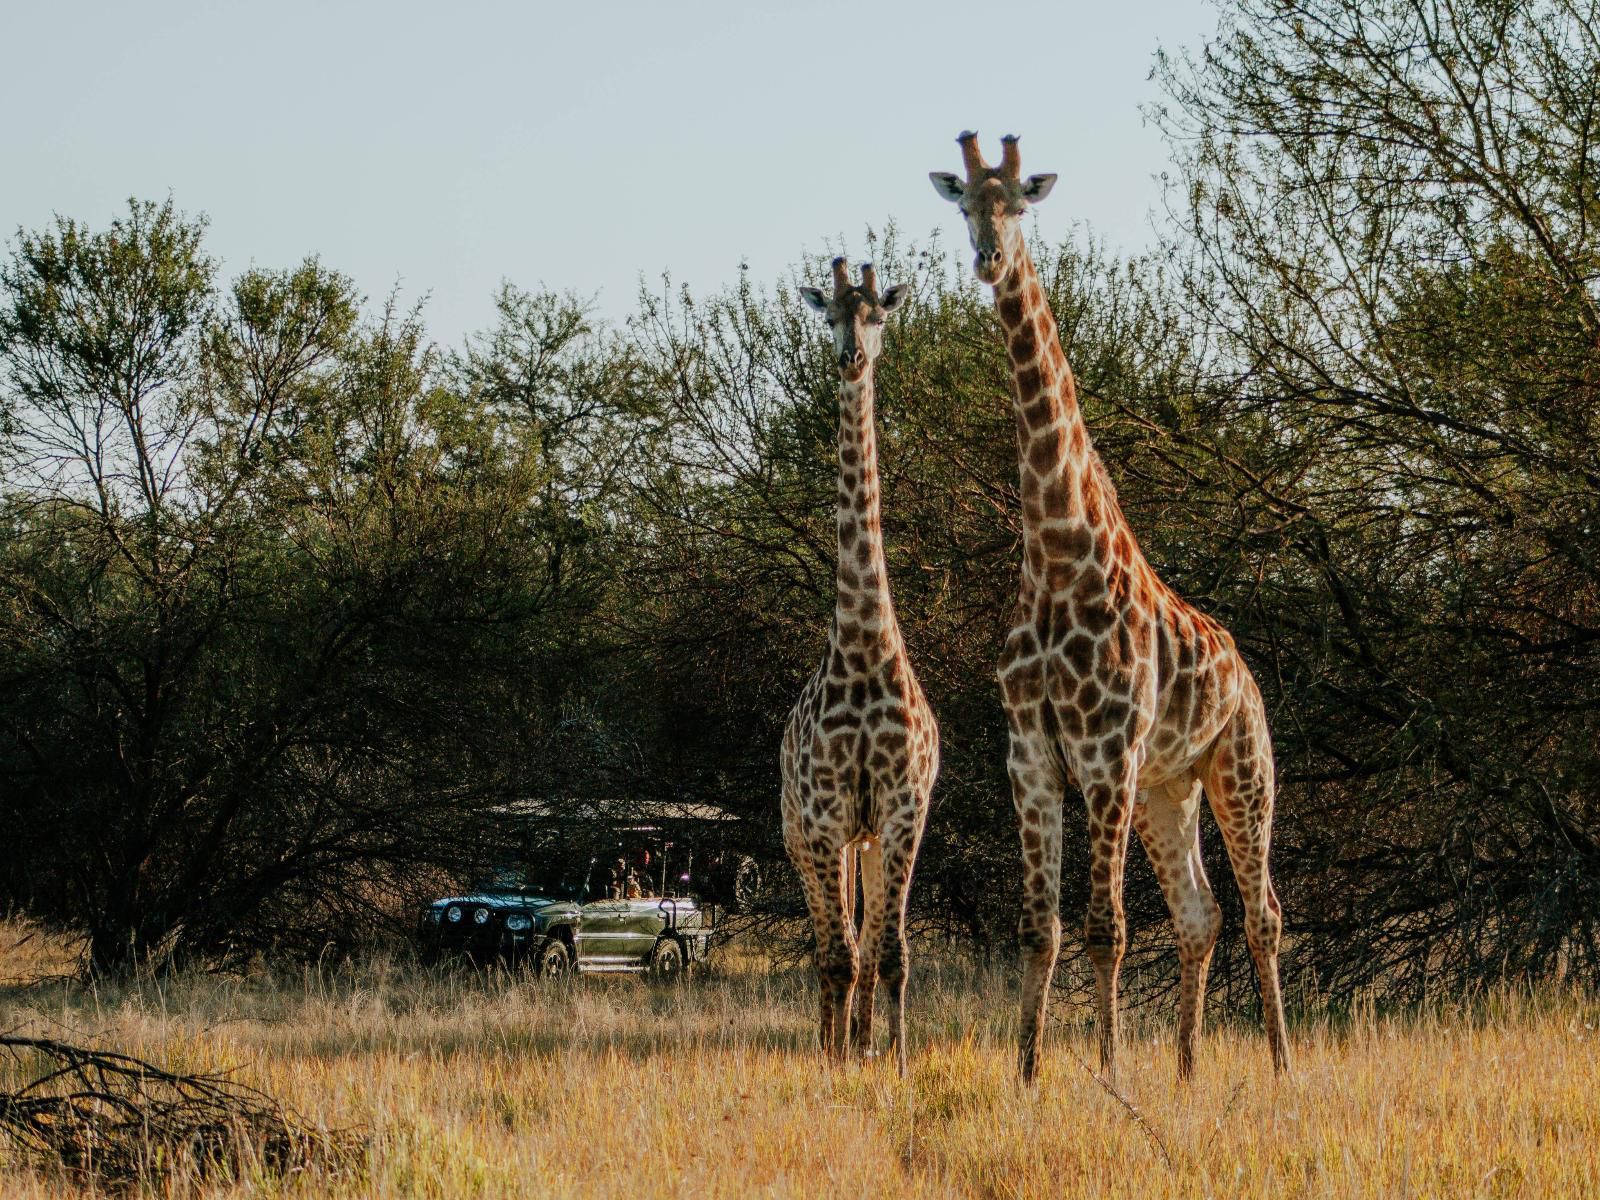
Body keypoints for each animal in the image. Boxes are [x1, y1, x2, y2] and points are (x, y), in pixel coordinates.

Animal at [934, 133, 1292, 1088]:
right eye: (964, 205)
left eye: (1019, 202)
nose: (987, 260)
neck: (1058, 554)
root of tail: (1247, 672)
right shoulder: (1031, 756)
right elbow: (1040, 928)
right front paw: (1027, 1074)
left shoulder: (1104, 757)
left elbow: (1106, 929)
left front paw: (1108, 1072)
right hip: (1171, 787)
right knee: (1203, 913)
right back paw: (1190, 1070)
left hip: (1239, 768)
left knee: (1264, 912)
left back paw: (1282, 1066)